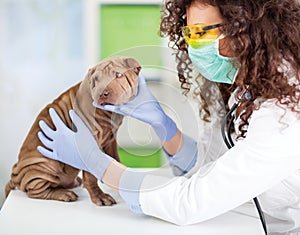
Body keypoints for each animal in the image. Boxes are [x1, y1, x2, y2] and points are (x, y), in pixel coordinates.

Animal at [4, 55, 141, 206]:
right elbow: (90, 176)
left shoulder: (111, 139)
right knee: (36, 191)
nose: (101, 94)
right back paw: (63, 193)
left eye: (118, 75)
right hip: (46, 165)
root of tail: (14, 176)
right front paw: (99, 196)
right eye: (96, 80)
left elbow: (115, 158)